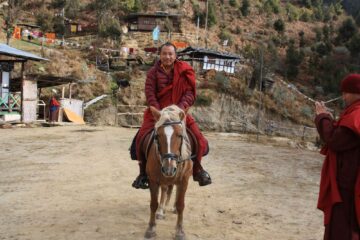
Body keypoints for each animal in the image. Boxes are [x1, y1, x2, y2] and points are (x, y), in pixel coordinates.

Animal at [143, 105, 194, 240]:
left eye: (180, 135)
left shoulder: (184, 180)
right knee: (165, 190)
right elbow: (153, 204)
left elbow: (181, 204)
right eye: (157, 136)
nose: (169, 169)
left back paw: (173, 208)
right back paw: (161, 211)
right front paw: (151, 228)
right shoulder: (153, 180)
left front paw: (179, 231)